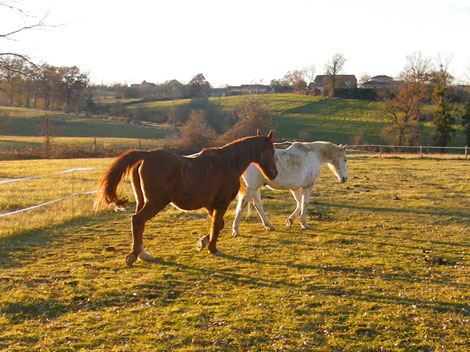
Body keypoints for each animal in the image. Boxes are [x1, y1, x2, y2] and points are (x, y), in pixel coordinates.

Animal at [96, 131, 280, 266]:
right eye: (272, 151)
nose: (274, 174)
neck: (229, 163)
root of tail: (146, 155)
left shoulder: (210, 205)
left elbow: (219, 225)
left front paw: (203, 243)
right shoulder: (221, 204)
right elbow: (217, 225)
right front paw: (213, 248)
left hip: (143, 201)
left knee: (138, 225)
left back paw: (143, 254)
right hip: (155, 203)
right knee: (137, 220)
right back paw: (134, 255)